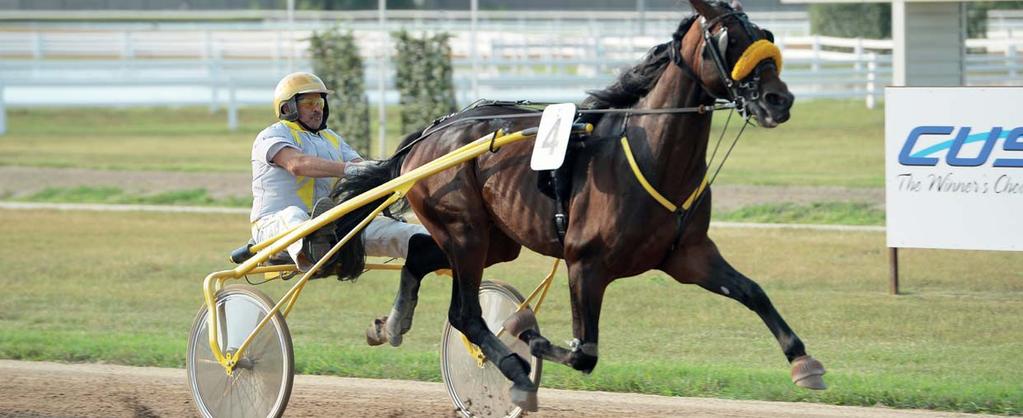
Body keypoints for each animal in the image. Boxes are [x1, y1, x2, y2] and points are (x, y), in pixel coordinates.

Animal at [333, 0, 822, 410]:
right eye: (728, 40)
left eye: (764, 33)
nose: (779, 99)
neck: (650, 153)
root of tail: (427, 136)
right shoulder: (585, 263)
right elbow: (584, 352)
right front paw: (523, 331)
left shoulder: (688, 255)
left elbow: (752, 291)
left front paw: (803, 362)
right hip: (464, 231)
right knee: (465, 313)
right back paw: (515, 372)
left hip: (494, 240)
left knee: (419, 254)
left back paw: (391, 325)